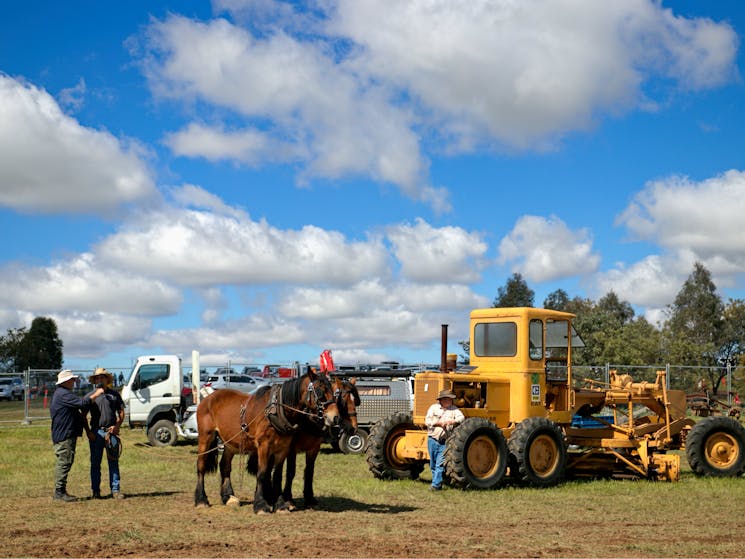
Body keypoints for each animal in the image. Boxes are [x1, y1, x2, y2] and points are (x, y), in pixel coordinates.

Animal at [193, 370, 342, 516]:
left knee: (225, 465)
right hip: (205, 437)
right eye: (320, 391)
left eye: (334, 392)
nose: (335, 418)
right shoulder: (264, 446)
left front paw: (280, 505)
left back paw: (228, 497)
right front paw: (261, 505)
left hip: (231, 442)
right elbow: (262, 473)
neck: (277, 411)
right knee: (201, 465)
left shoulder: (283, 449)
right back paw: (201, 500)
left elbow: (277, 475)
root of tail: (208, 397)